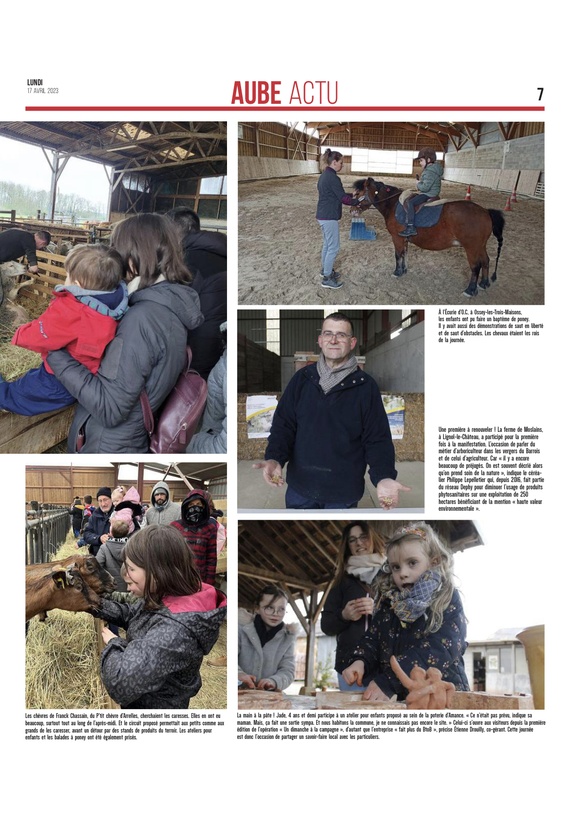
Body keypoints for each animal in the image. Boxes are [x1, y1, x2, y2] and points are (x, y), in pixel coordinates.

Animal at [352, 177, 504, 298]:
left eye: (358, 193)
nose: (352, 211)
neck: (393, 204)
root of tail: (485, 211)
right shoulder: (404, 239)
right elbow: (404, 254)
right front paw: (404, 270)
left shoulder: (397, 238)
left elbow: (398, 255)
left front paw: (397, 272)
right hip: (480, 246)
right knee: (486, 261)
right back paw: (483, 284)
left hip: (471, 247)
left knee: (475, 267)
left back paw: (470, 290)